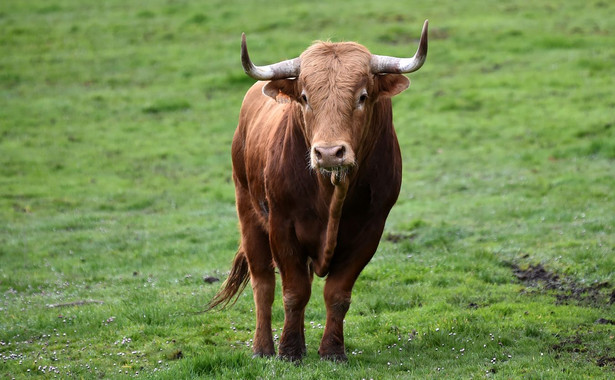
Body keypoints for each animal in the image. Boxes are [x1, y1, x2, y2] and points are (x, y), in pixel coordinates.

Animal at [209, 20, 430, 362]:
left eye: (362, 96)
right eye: (304, 97)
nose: (328, 153)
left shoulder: (370, 230)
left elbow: (337, 294)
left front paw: (332, 350)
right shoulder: (282, 226)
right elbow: (294, 292)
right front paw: (289, 350)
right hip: (247, 210)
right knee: (262, 284)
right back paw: (263, 347)